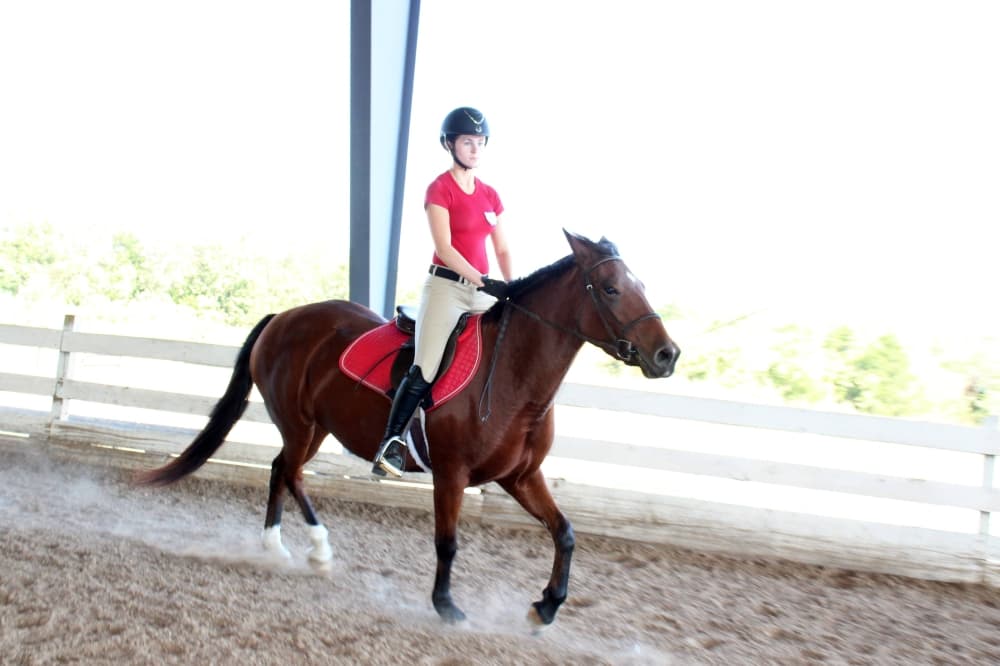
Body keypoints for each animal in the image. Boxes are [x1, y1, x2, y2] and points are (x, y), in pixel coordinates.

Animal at [136, 230, 680, 626]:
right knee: (289, 473)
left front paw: (546, 606)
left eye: (643, 287)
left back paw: (279, 547)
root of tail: (283, 316)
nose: (666, 355)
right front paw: (446, 606)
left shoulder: (520, 477)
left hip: (316, 428)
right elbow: (448, 541)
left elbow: (565, 532)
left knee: (280, 470)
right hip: (299, 424)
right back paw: (316, 550)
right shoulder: (451, 473)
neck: (514, 378)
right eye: (611, 289)